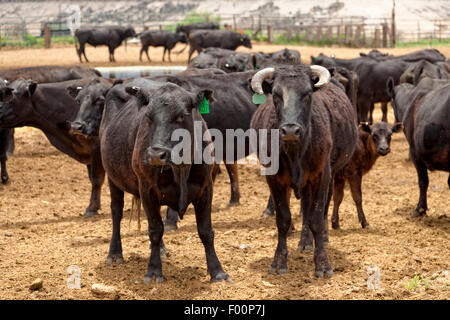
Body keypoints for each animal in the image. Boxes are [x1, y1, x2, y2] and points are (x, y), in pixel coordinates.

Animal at [0, 78, 110, 218]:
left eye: (11, 99)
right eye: (78, 100)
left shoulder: (96, 149)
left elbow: (96, 179)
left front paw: (92, 208)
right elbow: (92, 179)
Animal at [96, 77, 229, 282]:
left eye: (181, 115)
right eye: (148, 117)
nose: (156, 155)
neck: (181, 168)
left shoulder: (206, 188)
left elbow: (206, 230)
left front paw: (218, 271)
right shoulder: (147, 189)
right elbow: (155, 230)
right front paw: (153, 271)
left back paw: (161, 250)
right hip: (113, 177)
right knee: (116, 212)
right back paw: (115, 254)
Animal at [248, 63, 356, 276]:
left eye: (307, 94)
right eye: (276, 95)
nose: (290, 130)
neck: (295, 152)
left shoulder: (322, 176)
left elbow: (316, 218)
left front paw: (322, 264)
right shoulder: (274, 179)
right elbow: (283, 218)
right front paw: (279, 261)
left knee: (318, 208)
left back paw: (316, 239)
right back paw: (304, 240)